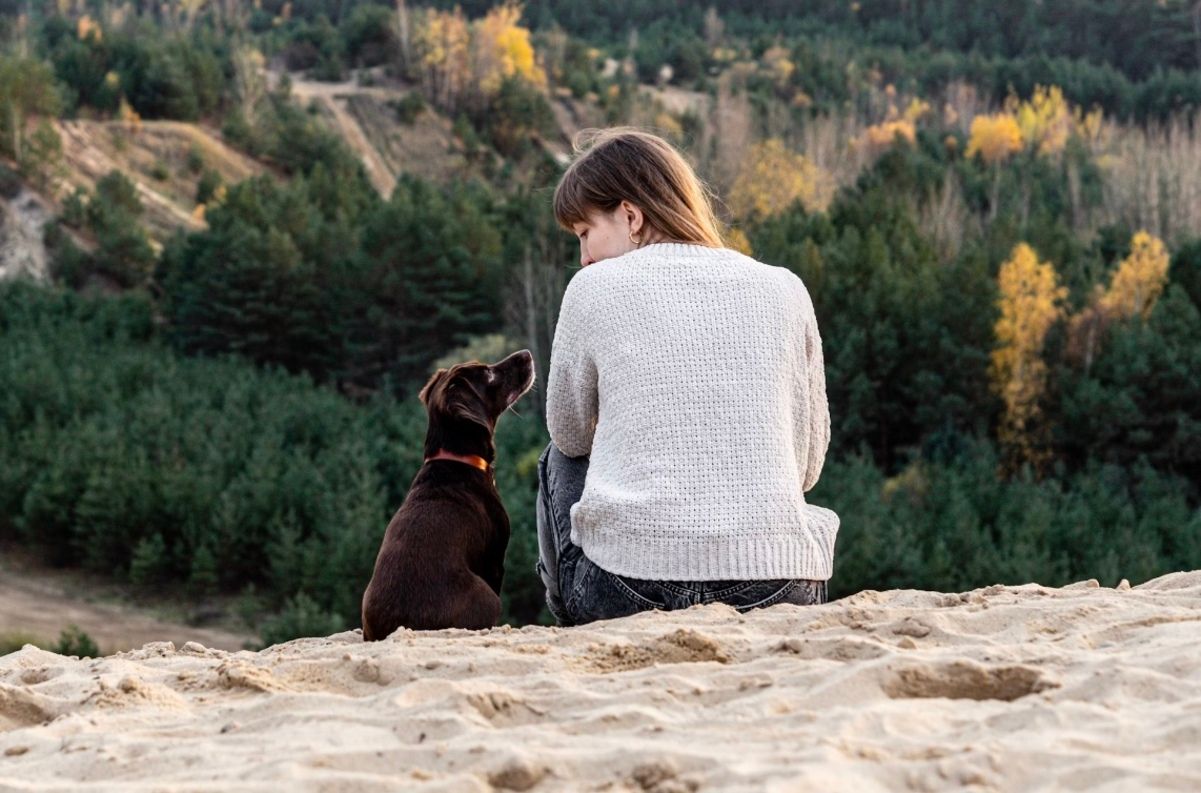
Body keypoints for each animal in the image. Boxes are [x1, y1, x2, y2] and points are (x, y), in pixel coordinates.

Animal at [357, 350, 538, 639]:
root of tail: (400, 627)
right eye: (488, 373)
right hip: (486, 595)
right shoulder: (494, 558)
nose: (526, 354)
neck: (456, 457)